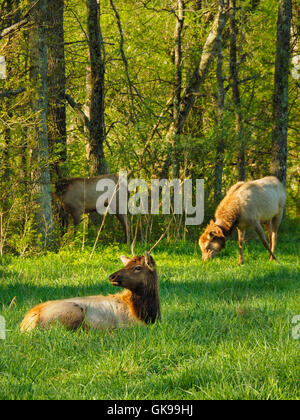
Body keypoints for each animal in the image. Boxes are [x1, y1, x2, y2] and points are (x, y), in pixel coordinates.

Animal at [19, 251, 161, 334]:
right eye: (126, 265)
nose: (112, 276)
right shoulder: (131, 324)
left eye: (138, 267)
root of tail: (26, 324)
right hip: (73, 312)